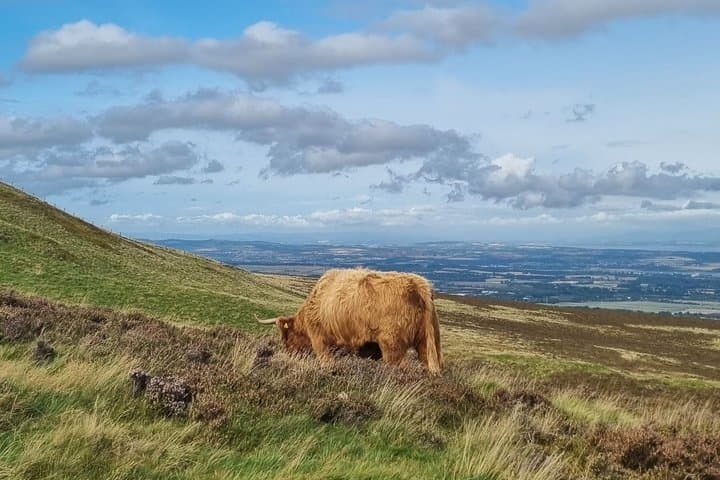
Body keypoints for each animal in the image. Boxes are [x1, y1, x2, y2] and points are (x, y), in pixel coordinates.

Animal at [257, 268, 443, 374]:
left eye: (286, 336)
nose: (288, 352)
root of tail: (420, 285)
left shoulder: (319, 339)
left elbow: (325, 360)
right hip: (427, 341)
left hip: (392, 344)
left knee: (400, 366)